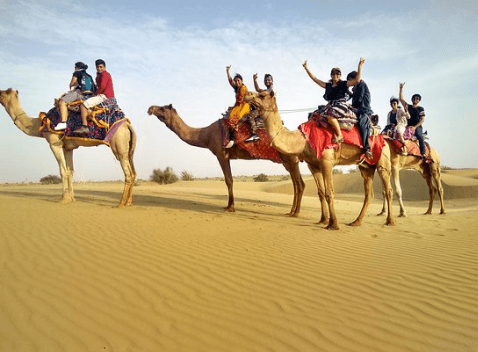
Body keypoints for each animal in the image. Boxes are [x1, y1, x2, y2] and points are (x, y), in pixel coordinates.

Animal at [0, 88, 136, 208]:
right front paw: (72, 198)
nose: (0, 92)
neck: (39, 124)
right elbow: (70, 171)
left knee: (128, 173)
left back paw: (120, 204)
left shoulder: (54, 143)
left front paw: (63, 199)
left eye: (6, 91)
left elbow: (62, 171)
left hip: (119, 145)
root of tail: (127, 125)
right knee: (133, 172)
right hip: (129, 149)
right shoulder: (68, 148)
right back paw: (129, 202)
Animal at [146, 103, 304, 216]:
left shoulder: (221, 155)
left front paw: (231, 207)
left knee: (299, 184)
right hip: (286, 161)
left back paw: (295, 213)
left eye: (162, 108)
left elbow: (229, 180)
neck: (206, 135)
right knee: (296, 184)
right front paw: (228, 205)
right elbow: (230, 180)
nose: (150, 108)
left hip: (290, 158)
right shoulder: (226, 156)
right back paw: (291, 211)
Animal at [245, 89, 394, 230]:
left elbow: (329, 193)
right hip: (366, 167)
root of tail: (383, 139)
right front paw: (323, 220)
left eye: (262, 95)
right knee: (369, 194)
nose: (247, 94)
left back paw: (390, 221)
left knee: (388, 190)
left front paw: (333, 224)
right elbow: (321, 192)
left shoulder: (327, 162)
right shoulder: (313, 165)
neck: (303, 140)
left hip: (383, 162)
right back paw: (356, 222)